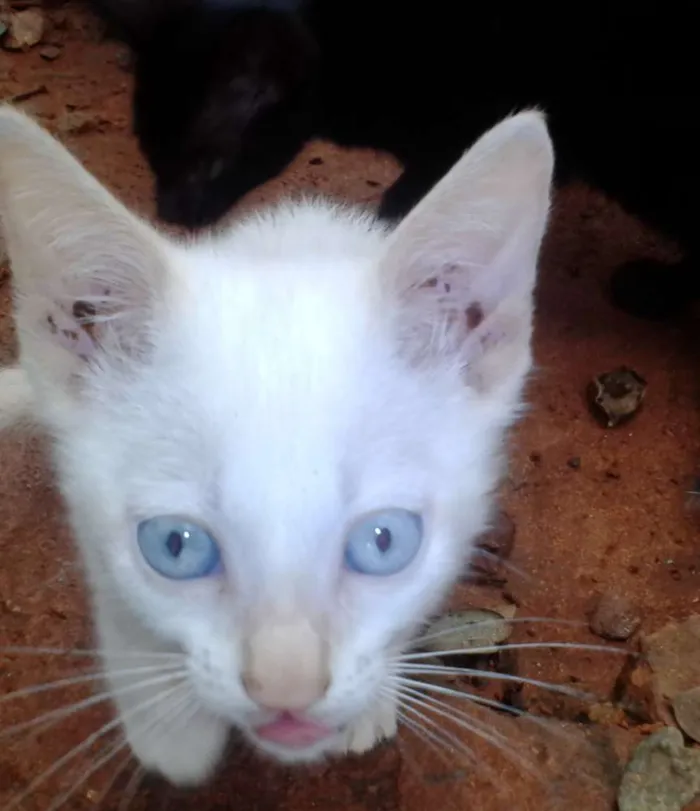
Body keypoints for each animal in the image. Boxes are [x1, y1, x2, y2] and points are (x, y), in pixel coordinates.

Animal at [0, 106, 552, 788]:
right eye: (175, 546)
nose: (287, 691)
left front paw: (373, 702)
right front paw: (169, 733)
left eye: (385, 541)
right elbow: (125, 615)